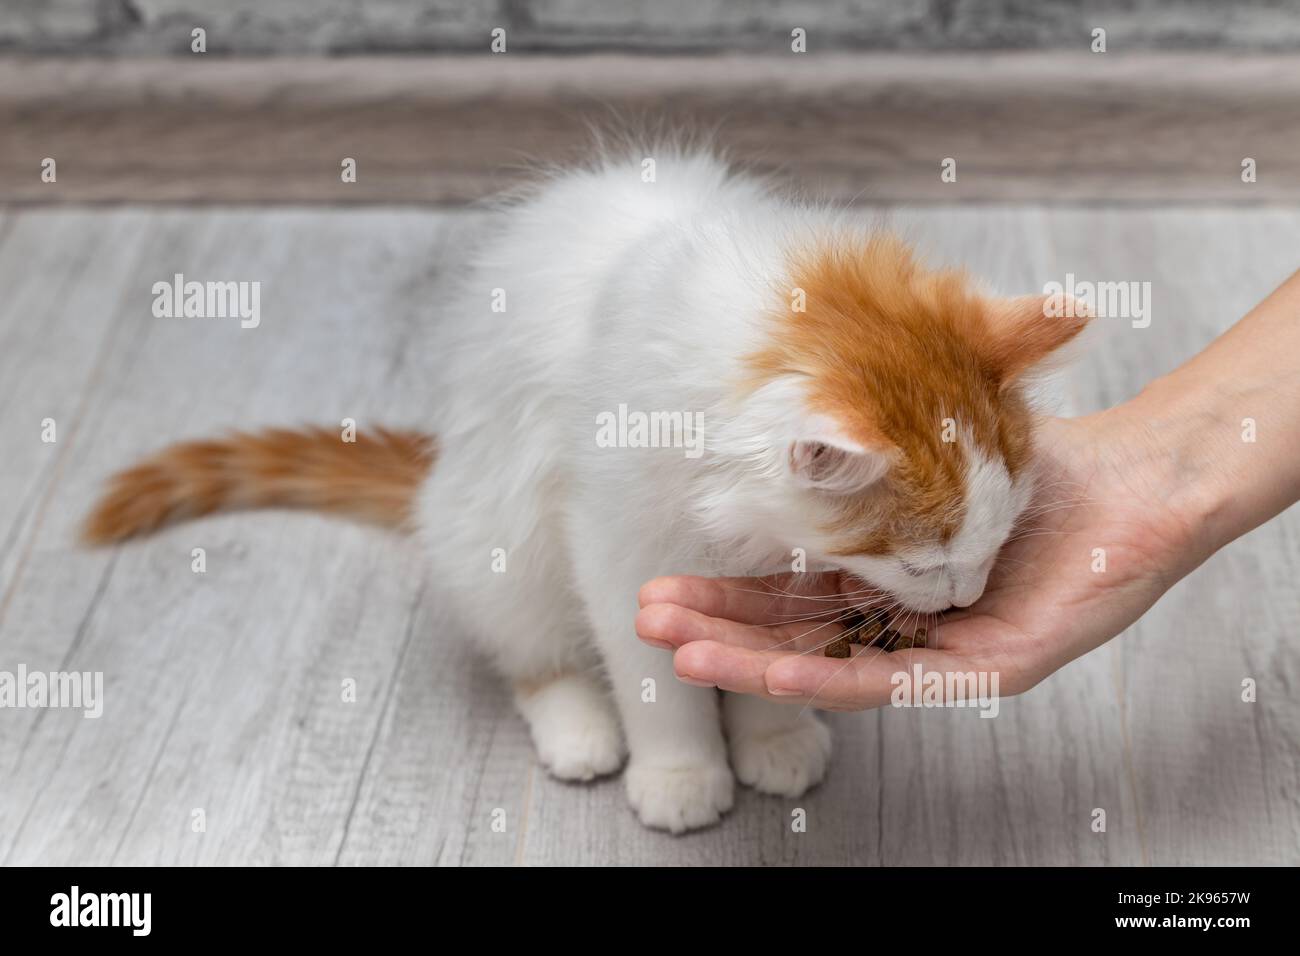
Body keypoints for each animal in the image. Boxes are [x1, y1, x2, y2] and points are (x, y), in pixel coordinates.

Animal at [86, 147, 1092, 832]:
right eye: (926, 564)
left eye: (999, 542)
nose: (965, 598)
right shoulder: (614, 542)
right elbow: (652, 680)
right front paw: (682, 774)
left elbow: (767, 656)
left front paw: (770, 736)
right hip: (494, 533)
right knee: (532, 649)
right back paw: (579, 728)